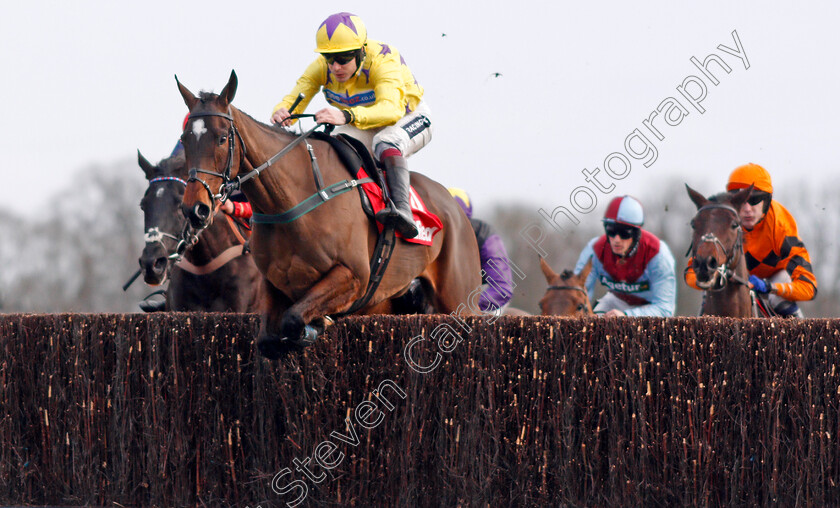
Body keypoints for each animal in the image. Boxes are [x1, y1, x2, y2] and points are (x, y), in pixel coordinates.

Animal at [175, 70, 482, 358]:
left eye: (221, 138)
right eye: (185, 139)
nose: (196, 208)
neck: (290, 205)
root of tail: (454, 206)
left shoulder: (354, 276)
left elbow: (293, 319)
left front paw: (316, 325)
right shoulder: (274, 285)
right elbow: (268, 341)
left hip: (459, 300)